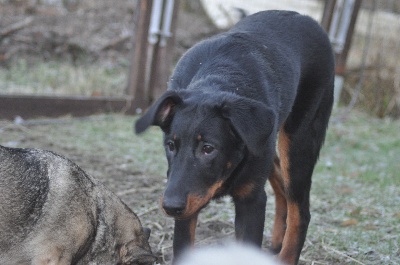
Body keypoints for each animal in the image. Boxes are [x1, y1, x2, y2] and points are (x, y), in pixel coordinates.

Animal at [136, 10, 336, 264]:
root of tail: (306, 17)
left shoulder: (251, 201)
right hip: (266, 142)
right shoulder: (187, 199)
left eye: (208, 148)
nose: (170, 206)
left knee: (300, 210)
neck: (216, 82)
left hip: (299, 141)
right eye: (171, 145)